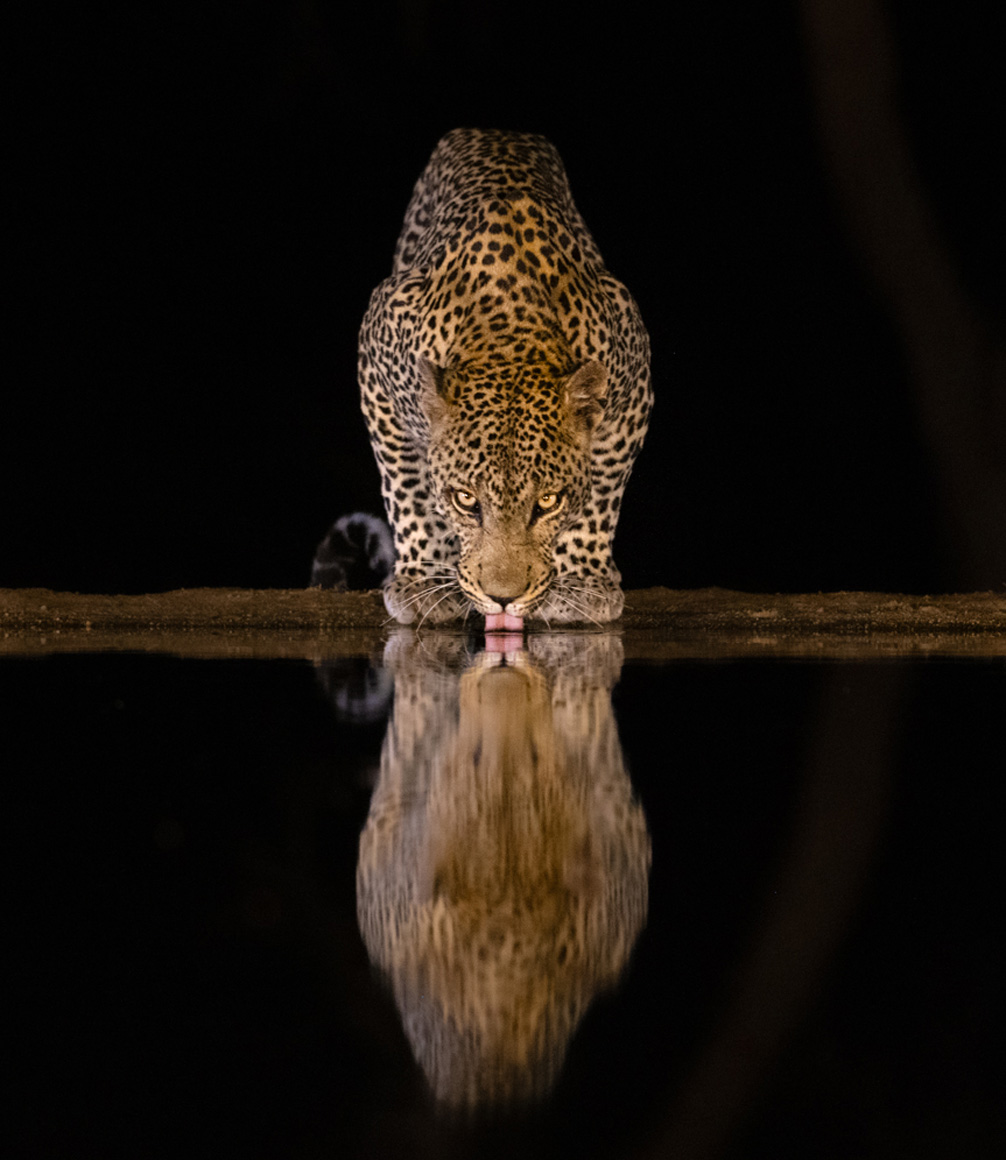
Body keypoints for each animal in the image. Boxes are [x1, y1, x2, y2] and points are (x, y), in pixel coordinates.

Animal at [357, 128, 653, 628]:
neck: (510, 340)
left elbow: (601, 494)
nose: (502, 599)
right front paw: (422, 580)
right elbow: (406, 486)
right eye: (464, 500)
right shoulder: (375, 364)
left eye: (548, 502)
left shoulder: (633, 392)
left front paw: (583, 582)